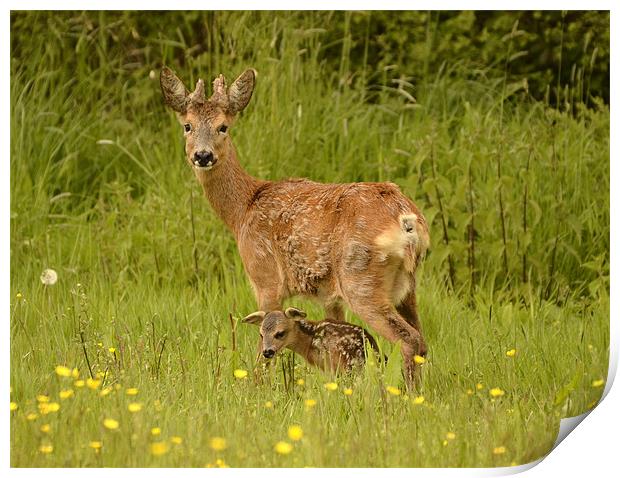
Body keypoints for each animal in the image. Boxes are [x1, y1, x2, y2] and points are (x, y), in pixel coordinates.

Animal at [160, 66, 432, 384]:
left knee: (409, 339)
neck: (243, 209)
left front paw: (258, 385)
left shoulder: (265, 277)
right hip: (407, 286)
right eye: (187, 126)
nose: (203, 156)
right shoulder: (330, 296)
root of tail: (406, 219)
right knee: (421, 339)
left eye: (223, 127)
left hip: (361, 279)